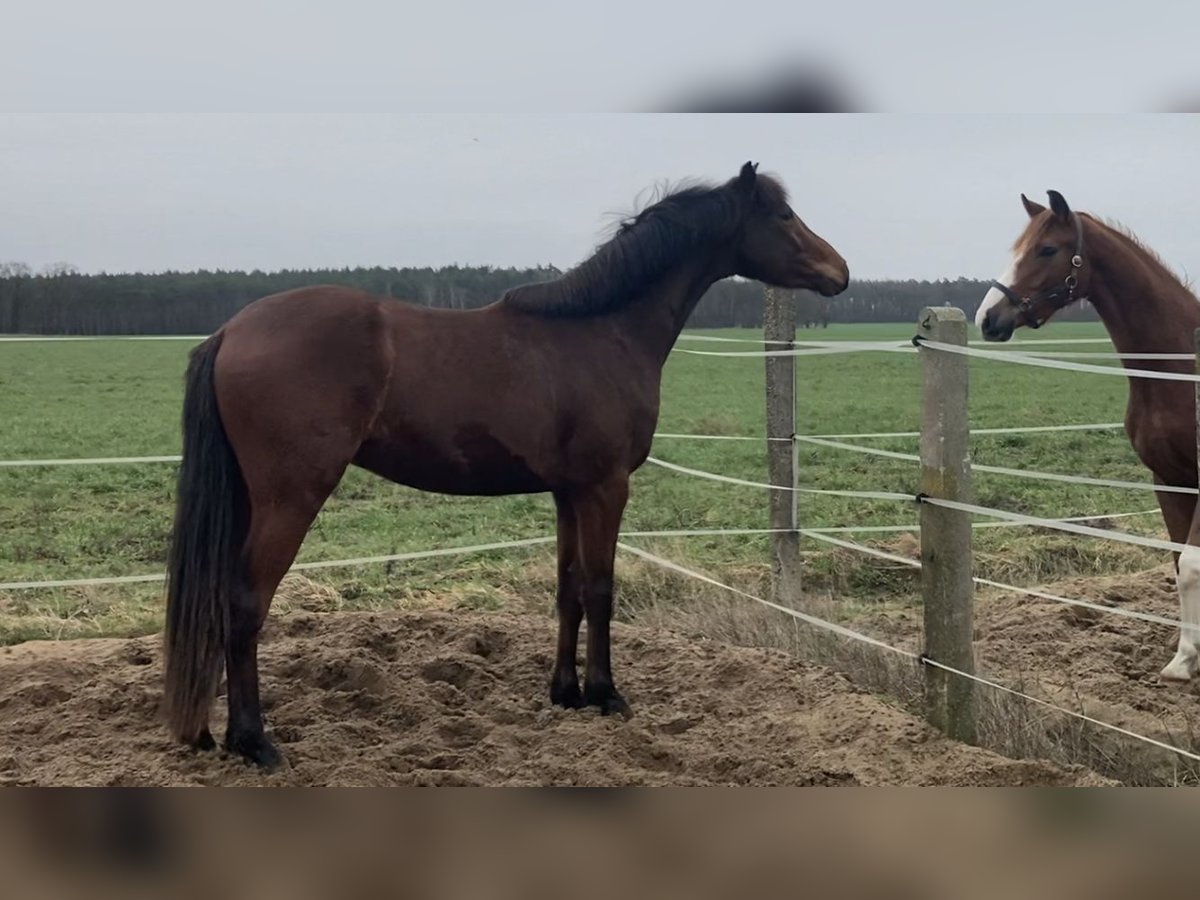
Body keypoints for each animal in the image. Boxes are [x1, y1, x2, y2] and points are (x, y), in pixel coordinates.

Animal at [164, 162, 849, 768]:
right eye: (782, 215)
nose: (840, 271)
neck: (601, 331)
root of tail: (231, 330)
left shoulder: (569, 493)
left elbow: (568, 591)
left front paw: (566, 693)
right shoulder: (606, 489)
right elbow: (601, 590)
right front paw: (607, 695)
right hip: (291, 498)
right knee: (246, 603)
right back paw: (255, 742)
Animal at [974, 190, 1200, 681]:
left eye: (1046, 249)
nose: (986, 318)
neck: (1181, 368)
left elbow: (1192, 564)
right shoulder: (1169, 481)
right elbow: (1179, 564)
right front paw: (1185, 657)